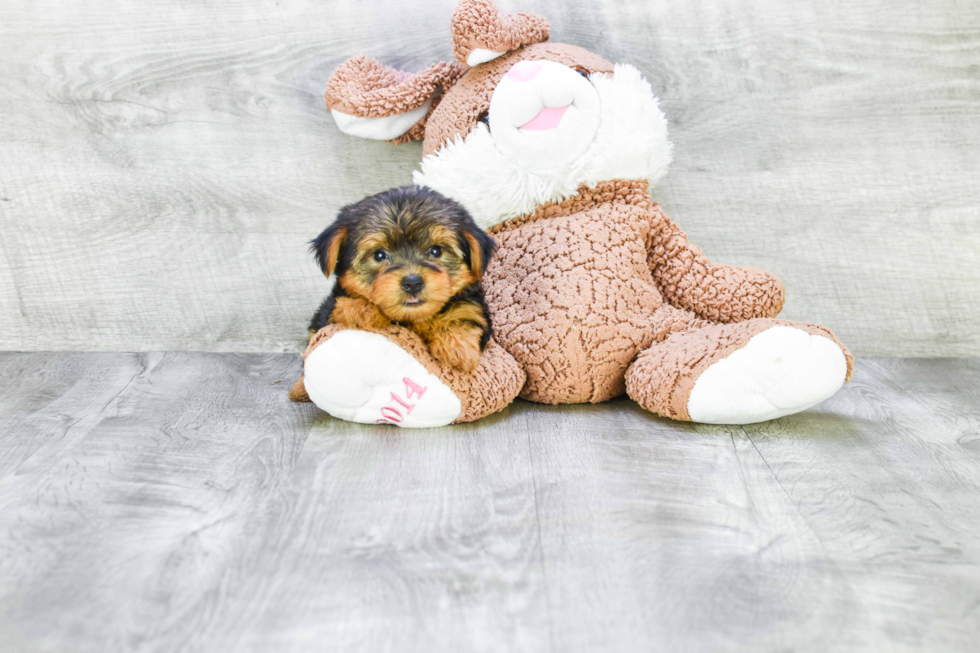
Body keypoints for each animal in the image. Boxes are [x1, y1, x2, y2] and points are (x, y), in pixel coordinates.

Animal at [308, 186, 494, 374]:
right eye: (379, 255)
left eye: (436, 251)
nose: (412, 283)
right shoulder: (328, 315)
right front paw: (363, 309)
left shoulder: (472, 309)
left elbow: (463, 315)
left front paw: (458, 346)